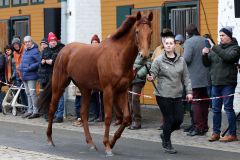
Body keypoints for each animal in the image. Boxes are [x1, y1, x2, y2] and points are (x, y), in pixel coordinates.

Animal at [38, 11, 153, 156]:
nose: (144, 55)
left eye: (151, 32)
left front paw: (112, 142)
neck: (118, 56)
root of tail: (63, 50)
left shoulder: (123, 90)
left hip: (85, 89)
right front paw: (107, 146)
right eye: (137, 31)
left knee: (83, 114)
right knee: (52, 108)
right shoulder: (108, 90)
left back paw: (91, 143)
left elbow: (126, 118)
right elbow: (108, 117)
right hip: (59, 84)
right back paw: (49, 139)